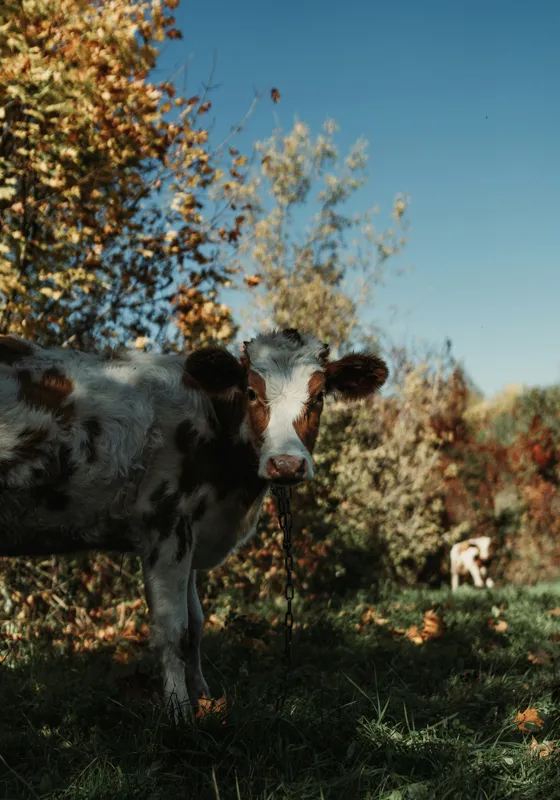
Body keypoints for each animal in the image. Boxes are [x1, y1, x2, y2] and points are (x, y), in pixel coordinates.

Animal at [0, 328, 388, 718]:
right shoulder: (165, 524)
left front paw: (203, 696)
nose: (286, 464)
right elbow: (174, 629)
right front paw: (179, 709)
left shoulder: (191, 533)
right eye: (251, 392)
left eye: (319, 395)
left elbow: (196, 624)